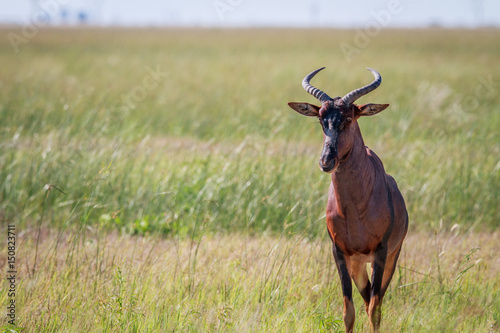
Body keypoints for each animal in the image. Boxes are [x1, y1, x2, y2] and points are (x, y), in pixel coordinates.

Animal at [288, 66, 408, 330]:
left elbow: (375, 310)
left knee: (375, 301)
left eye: (349, 117)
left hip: (390, 258)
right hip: (357, 265)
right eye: (321, 118)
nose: (326, 161)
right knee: (365, 298)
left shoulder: (382, 251)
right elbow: (348, 310)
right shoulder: (339, 252)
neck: (355, 209)